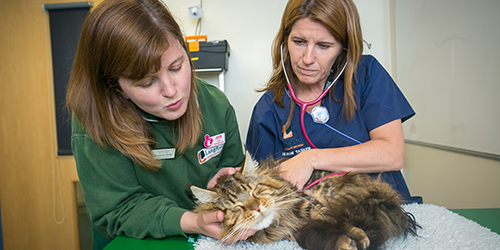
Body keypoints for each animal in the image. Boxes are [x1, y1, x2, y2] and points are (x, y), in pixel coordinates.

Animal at [190, 157, 418, 249]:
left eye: (256, 191)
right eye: (237, 208)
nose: (256, 207)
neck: (282, 222)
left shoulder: (310, 203)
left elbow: (337, 220)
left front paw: (358, 237)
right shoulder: (293, 230)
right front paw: (346, 242)